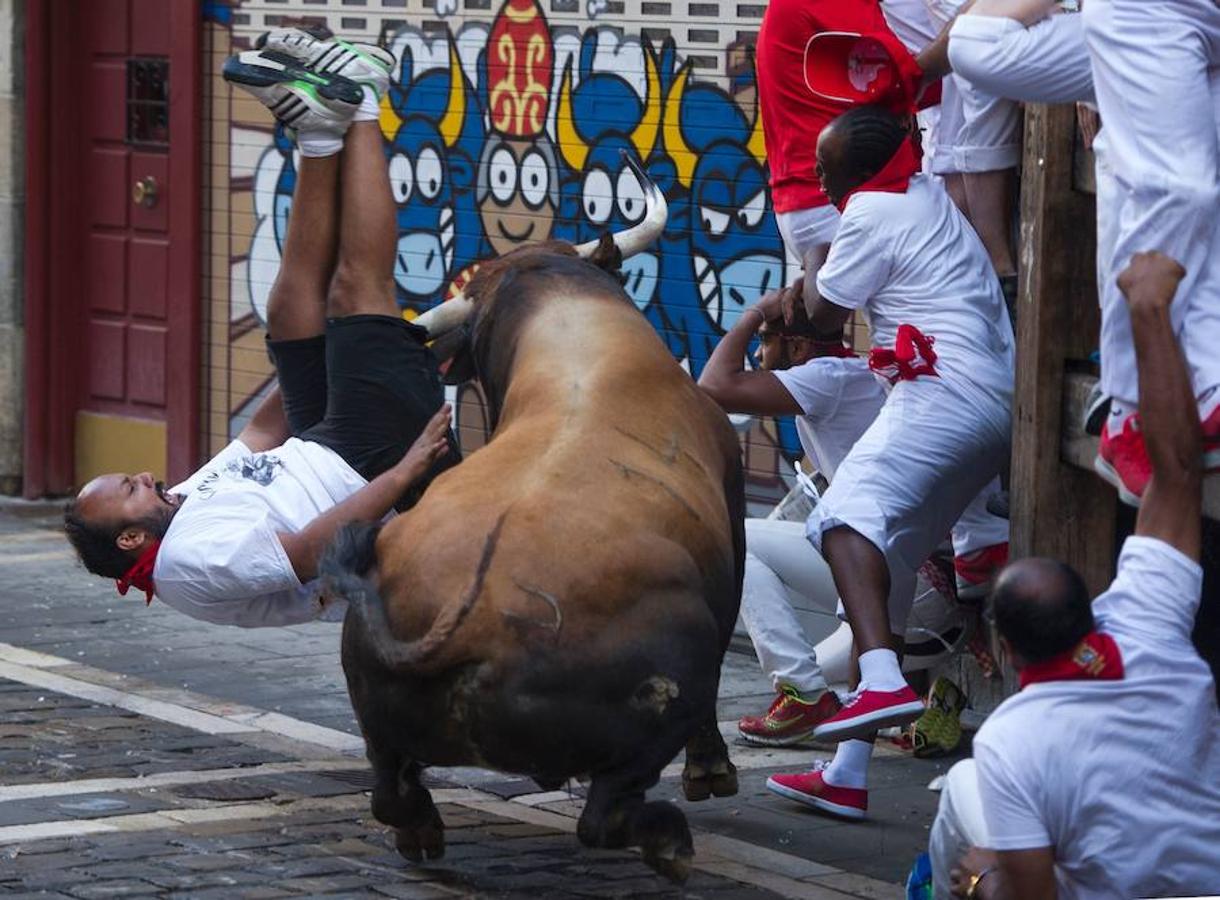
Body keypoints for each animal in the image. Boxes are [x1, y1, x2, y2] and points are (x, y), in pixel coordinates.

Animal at [324, 157, 741, 878]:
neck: (573, 339)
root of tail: (469, 620)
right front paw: (711, 770)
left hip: (374, 705)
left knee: (390, 786)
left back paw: (420, 833)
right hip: (665, 682)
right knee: (608, 811)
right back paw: (668, 842)